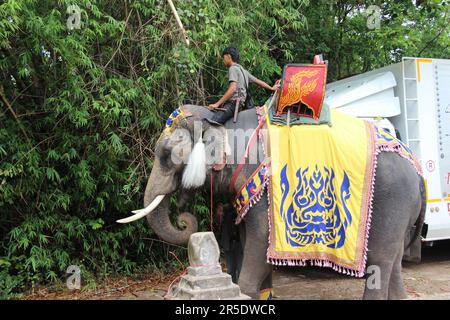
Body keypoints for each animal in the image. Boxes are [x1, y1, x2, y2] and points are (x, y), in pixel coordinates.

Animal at [117, 105, 426, 300]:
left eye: (165, 155)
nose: (185, 220)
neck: (221, 120)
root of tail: (417, 168)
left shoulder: (263, 186)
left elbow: (260, 240)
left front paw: (243, 291)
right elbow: (250, 243)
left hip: (394, 201)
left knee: (380, 262)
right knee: (394, 261)